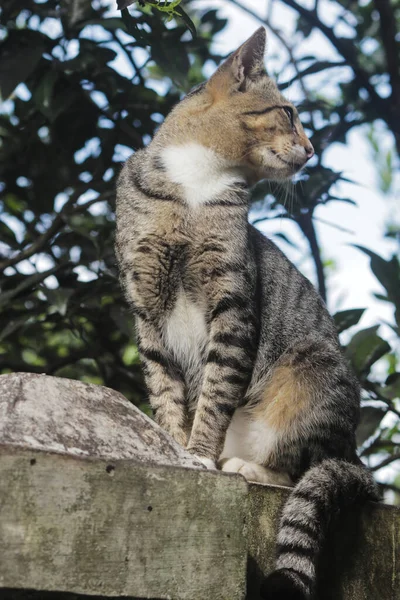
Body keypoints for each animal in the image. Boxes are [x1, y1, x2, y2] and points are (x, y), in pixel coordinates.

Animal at [115, 27, 378, 600]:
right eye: (289, 112)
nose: (312, 148)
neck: (195, 185)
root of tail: (355, 453)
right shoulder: (146, 310)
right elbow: (166, 393)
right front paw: (174, 450)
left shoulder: (233, 306)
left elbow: (215, 391)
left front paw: (197, 453)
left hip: (311, 369)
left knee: (304, 468)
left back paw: (244, 466)